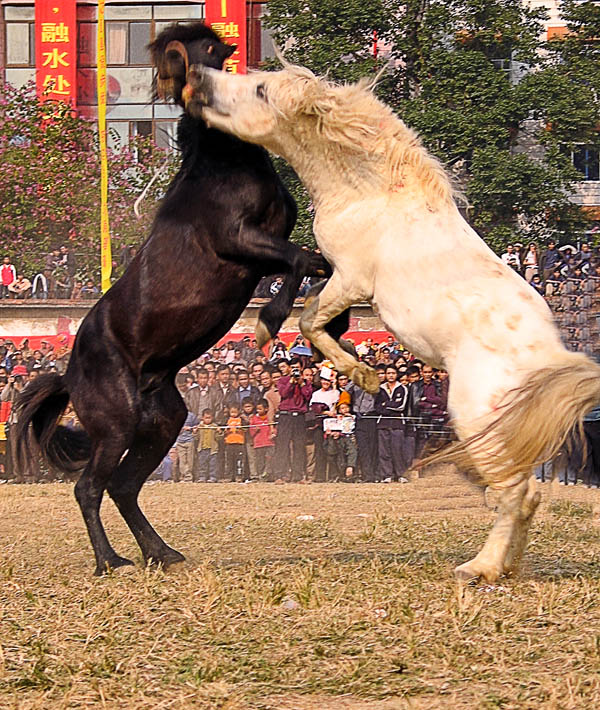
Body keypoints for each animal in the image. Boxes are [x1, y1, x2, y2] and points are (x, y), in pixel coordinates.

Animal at [14, 23, 330, 580]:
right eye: (204, 49)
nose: (234, 48)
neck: (221, 161)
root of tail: (69, 374)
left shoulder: (266, 251)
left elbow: (314, 264)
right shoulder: (241, 241)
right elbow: (298, 262)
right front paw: (271, 323)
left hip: (164, 420)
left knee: (122, 486)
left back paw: (161, 553)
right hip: (115, 423)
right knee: (90, 486)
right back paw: (110, 561)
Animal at [185, 62, 600, 584]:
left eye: (261, 89)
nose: (199, 77)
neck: (373, 192)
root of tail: (552, 361)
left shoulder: (353, 278)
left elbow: (311, 320)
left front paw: (361, 373)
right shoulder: (337, 274)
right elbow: (312, 303)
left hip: (476, 415)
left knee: (516, 493)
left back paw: (479, 566)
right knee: (525, 494)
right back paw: (505, 565)